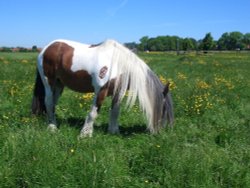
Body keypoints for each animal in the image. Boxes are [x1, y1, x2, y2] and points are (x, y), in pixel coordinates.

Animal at [30, 39, 174, 137]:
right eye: (164, 110)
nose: (159, 132)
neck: (119, 65)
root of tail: (46, 48)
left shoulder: (118, 93)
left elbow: (115, 112)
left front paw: (114, 131)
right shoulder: (100, 91)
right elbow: (93, 113)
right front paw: (85, 134)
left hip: (59, 85)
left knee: (53, 104)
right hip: (49, 82)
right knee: (48, 102)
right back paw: (52, 127)